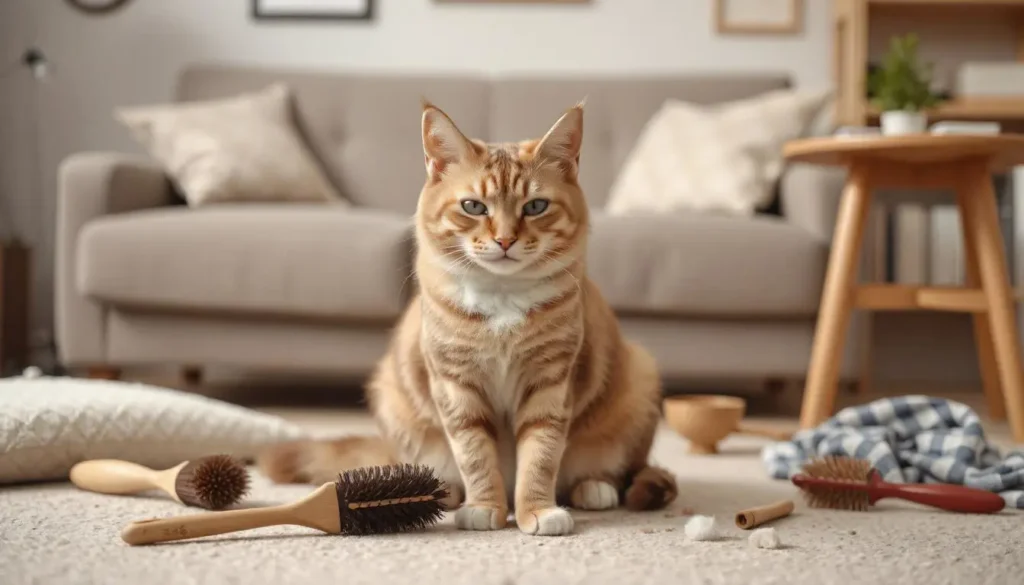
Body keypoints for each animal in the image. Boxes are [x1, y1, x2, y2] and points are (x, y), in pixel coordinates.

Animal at [256, 99, 675, 536]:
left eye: (535, 206)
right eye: (473, 206)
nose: (505, 240)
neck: (502, 300)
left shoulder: (551, 381)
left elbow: (541, 454)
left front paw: (538, 510)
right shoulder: (456, 383)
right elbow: (475, 454)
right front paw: (484, 506)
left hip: (639, 379)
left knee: (624, 470)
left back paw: (593, 487)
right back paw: (441, 493)